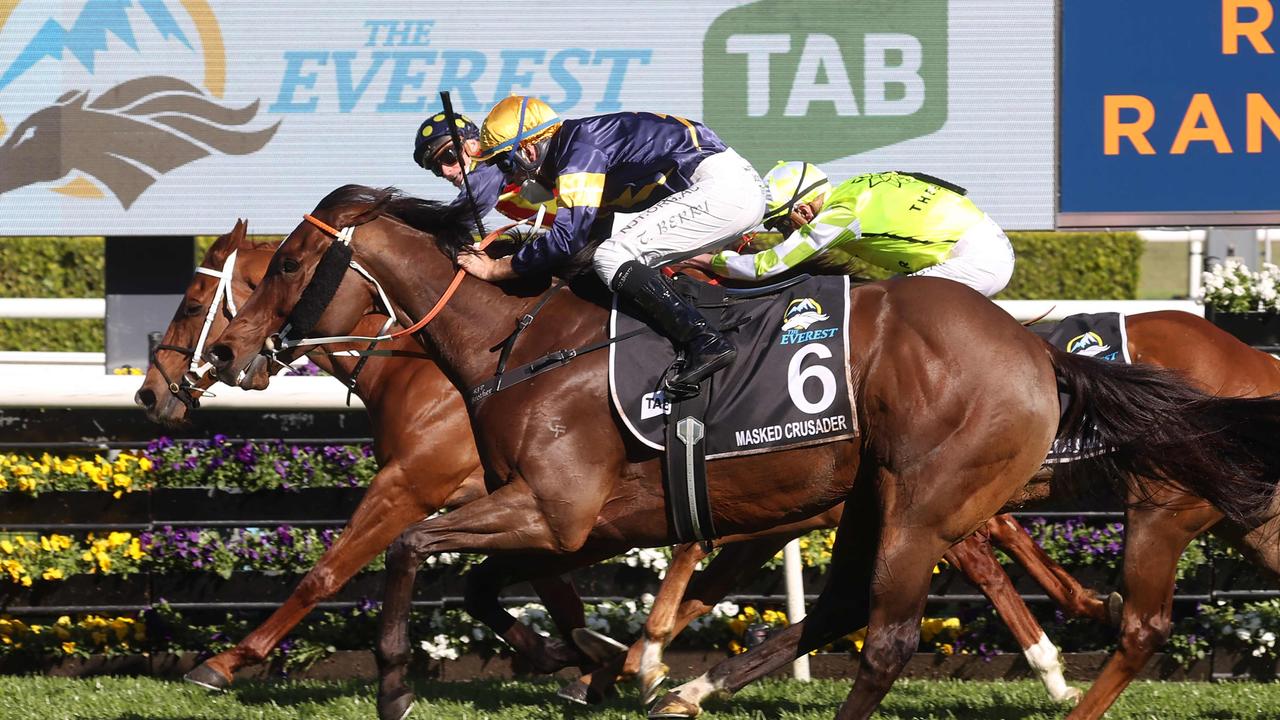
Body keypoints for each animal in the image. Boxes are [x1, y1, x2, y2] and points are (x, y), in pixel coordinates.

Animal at [204, 185, 1280, 717]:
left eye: (287, 265)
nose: (231, 354)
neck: (519, 339)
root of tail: (1036, 351)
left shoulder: (559, 508)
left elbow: (407, 547)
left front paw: (393, 680)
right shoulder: (576, 520)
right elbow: (474, 579)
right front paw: (593, 664)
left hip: (963, 496)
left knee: (892, 638)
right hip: (886, 496)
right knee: (847, 610)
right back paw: (686, 691)